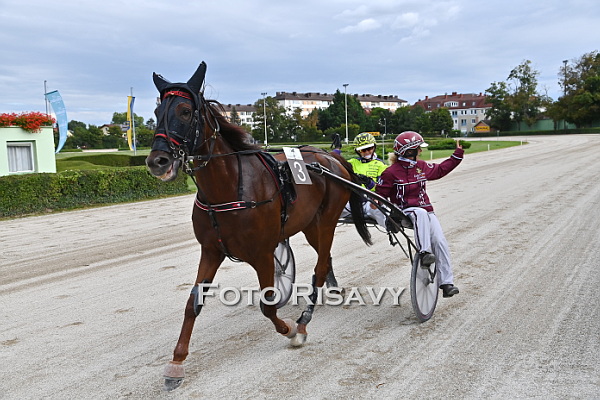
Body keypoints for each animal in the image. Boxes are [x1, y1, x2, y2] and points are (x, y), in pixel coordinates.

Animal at [145, 62, 372, 390]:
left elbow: (268, 304)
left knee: (319, 266)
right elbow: (192, 303)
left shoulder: (263, 253)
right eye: (156, 110)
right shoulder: (211, 250)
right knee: (324, 256)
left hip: (328, 218)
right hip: (309, 224)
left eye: (186, 111)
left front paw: (291, 330)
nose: (157, 161)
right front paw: (176, 363)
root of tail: (331, 157)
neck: (228, 190)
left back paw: (305, 320)